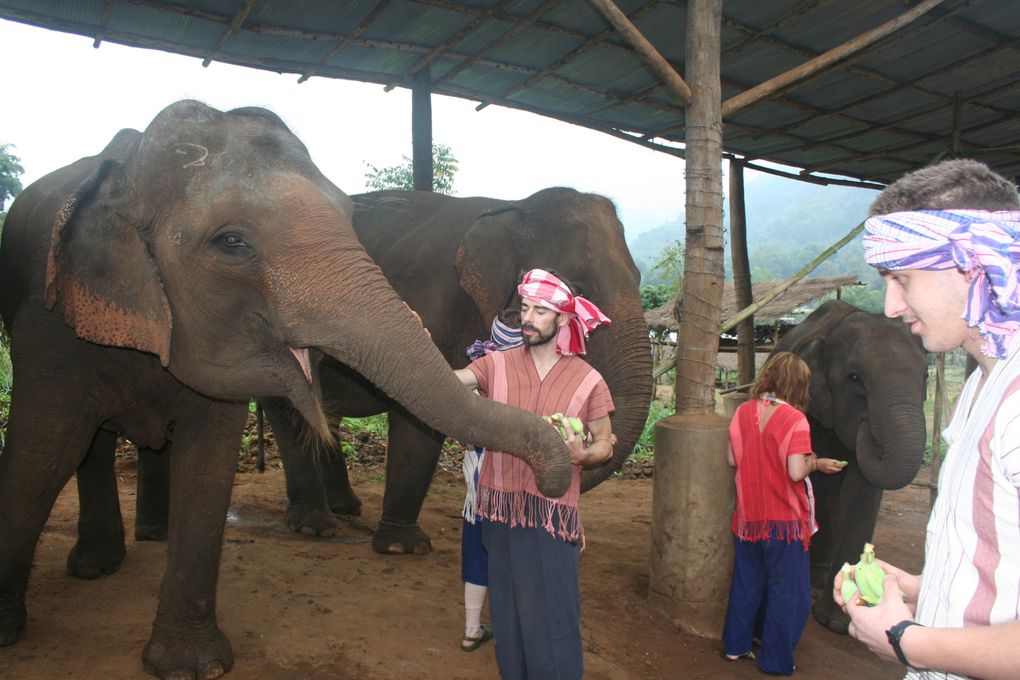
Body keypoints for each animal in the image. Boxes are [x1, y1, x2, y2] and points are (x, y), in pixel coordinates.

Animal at [0, 100, 575, 680]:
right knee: (84, 448)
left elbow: (208, 466)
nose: (553, 477)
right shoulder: (48, 324)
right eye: (231, 241)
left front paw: (194, 666)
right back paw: (98, 566)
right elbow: (40, 454)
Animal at [255, 186, 652, 554]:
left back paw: (345, 509)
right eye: (578, 288)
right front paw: (402, 547)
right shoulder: (429, 296)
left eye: (639, 278)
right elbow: (419, 414)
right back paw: (315, 525)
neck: (510, 205)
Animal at [771, 299, 934, 636]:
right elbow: (817, 475)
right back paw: (818, 574)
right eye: (855, 378)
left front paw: (838, 622)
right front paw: (834, 616)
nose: (867, 425)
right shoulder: (813, 406)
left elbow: (864, 490)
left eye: (926, 375)